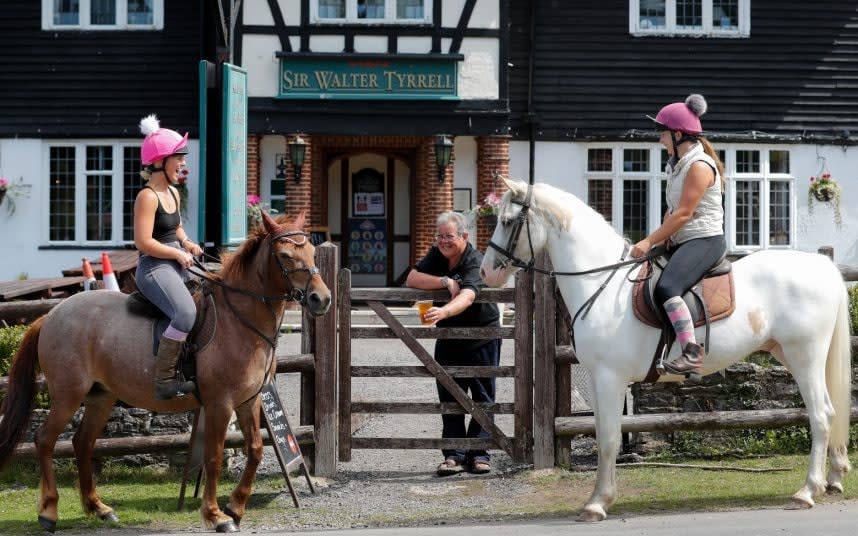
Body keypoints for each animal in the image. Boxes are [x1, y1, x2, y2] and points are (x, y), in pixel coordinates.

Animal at [0, 211, 330, 532]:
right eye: (285, 255)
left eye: (313, 252)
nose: (321, 299)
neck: (239, 320)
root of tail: (51, 314)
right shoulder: (220, 403)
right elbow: (213, 456)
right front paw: (216, 516)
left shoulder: (249, 400)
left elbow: (256, 450)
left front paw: (235, 508)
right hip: (68, 394)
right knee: (45, 439)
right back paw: (49, 513)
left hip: (100, 397)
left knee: (82, 443)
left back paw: (100, 509)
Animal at [482, 178, 848, 520]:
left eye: (508, 220)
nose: (487, 271)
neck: (602, 283)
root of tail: (822, 266)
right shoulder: (599, 379)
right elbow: (602, 433)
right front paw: (599, 498)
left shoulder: (610, 378)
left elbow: (610, 438)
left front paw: (598, 503)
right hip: (789, 354)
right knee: (829, 411)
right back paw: (833, 477)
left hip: (805, 357)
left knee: (820, 415)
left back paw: (807, 491)